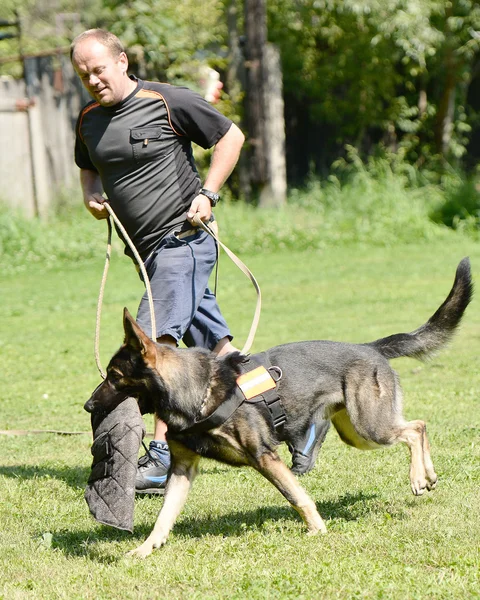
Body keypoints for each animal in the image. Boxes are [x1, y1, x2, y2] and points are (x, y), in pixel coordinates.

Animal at [84, 258, 470, 556]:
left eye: (115, 376)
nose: (88, 406)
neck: (196, 393)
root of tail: (371, 347)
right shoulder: (182, 469)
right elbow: (164, 518)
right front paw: (145, 549)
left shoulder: (264, 457)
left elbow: (297, 496)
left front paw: (317, 529)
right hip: (356, 434)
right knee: (415, 425)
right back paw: (428, 474)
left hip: (370, 427)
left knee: (415, 427)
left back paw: (419, 477)